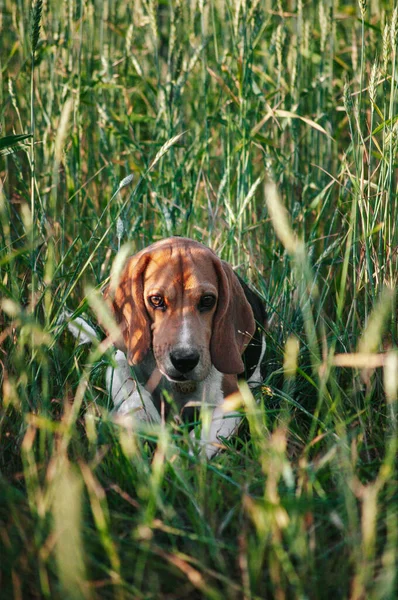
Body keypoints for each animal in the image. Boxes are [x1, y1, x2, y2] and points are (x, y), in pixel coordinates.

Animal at [102, 237, 268, 458]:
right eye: (156, 300)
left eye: (207, 300)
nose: (184, 360)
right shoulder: (120, 361)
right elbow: (132, 388)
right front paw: (145, 418)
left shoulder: (232, 400)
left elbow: (199, 441)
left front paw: (176, 458)